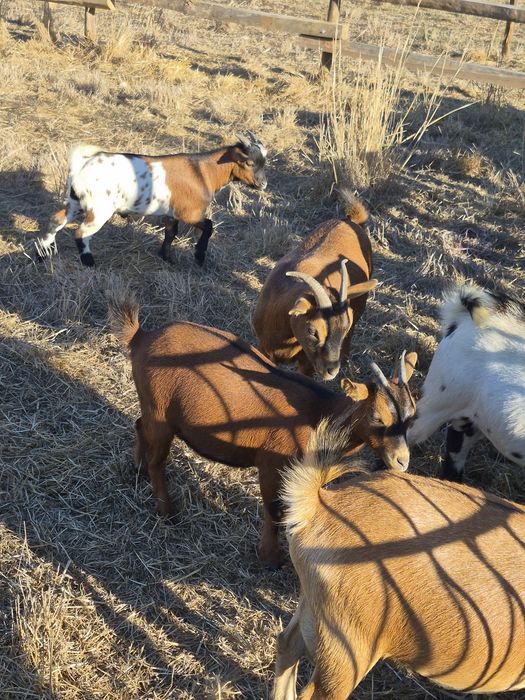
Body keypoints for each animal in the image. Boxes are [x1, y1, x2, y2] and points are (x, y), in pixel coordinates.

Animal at [36, 132, 267, 268]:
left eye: (264, 162)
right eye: (248, 162)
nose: (263, 184)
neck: (201, 171)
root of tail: (83, 166)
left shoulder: (170, 213)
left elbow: (171, 233)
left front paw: (166, 257)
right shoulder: (189, 213)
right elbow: (209, 226)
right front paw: (199, 256)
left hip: (74, 202)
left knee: (55, 220)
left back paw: (43, 254)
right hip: (99, 209)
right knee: (81, 232)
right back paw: (88, 261)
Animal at [108, 291, 417, 567]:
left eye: (412, 416)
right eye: (378, 417)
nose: (401, 461)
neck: (320, 412)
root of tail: (141, 336)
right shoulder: (271, 464)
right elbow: (274, 510)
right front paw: (270, 558)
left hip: (151, 408)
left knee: (139, 425)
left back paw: (136, 468)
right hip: (161, 414)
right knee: (157, 460)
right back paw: (167, 511)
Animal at [252, 200, 377, 381]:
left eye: (344, 328)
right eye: (312, 330)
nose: (331, 370)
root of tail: (352, 220)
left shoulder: (308, 363)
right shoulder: (264, 349)